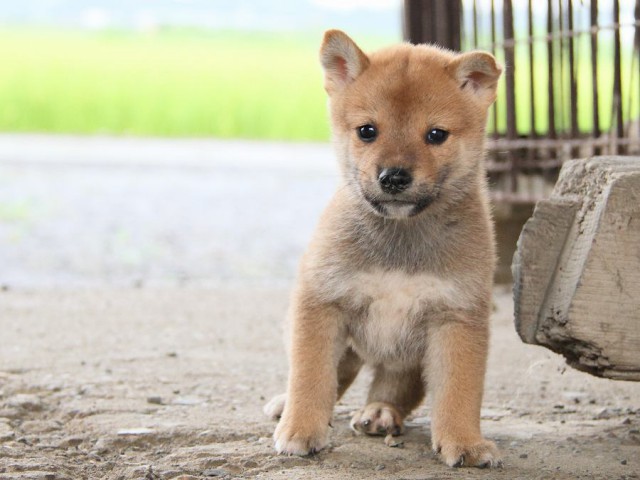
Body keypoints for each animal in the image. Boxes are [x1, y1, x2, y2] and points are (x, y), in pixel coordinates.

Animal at [262, 29, 502, 468]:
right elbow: (311, 375)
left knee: (395, 387)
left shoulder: (456, 318)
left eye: (436, 134)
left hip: (408, 354)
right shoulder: (321, 303)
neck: (401, 239)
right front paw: (300, 428)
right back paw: (287, 405)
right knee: (336, 374)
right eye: (367, 131)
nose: (393, 177)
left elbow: (459, 390)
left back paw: (380, 412)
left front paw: (465, 441)